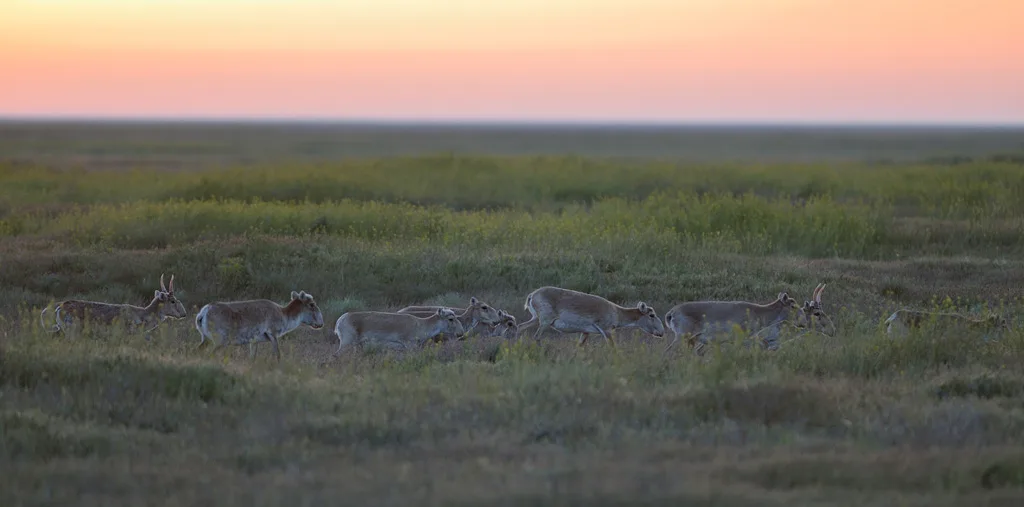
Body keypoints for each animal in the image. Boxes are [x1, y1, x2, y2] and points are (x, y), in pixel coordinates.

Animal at [194, 290, 325, 363]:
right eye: (312, 304)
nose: (321, 323)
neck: (283, 314)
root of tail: (204, 312)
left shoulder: (254, 342)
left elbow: (252, 358)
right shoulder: (272, 334)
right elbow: (278, 355)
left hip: (205, 339)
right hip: (220, 341)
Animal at [333, 308, 466, 356]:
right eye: (451, 318)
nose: (461, 332)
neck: (421, 325)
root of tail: (340, 320)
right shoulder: (410, 345)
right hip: (346, 343)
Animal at [515, 286, 666, 348]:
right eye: (652, 315)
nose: (662, 332)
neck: (616, 311)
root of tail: (532, 294)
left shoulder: (585, 332)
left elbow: (579, 346)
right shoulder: (606, 331)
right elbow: (612, 347)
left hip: (535, 319)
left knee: (520, 327)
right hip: (545, 322)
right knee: (536, 336)